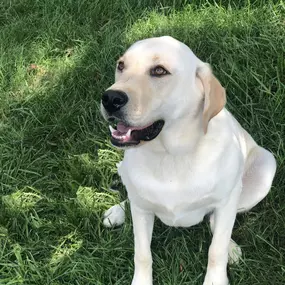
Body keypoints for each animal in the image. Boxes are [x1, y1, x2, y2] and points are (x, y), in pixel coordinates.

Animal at [99, 36, 276, 284]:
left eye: (159, 71)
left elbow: (216, 249)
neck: (171, 155)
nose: (110, 98)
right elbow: (142, 254)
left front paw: (216, 278)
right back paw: (117, 212)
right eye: (121, 65)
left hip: (265, 168)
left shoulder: (227, 200)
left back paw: (231, 248)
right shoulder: (142, 211)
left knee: (215, 223)